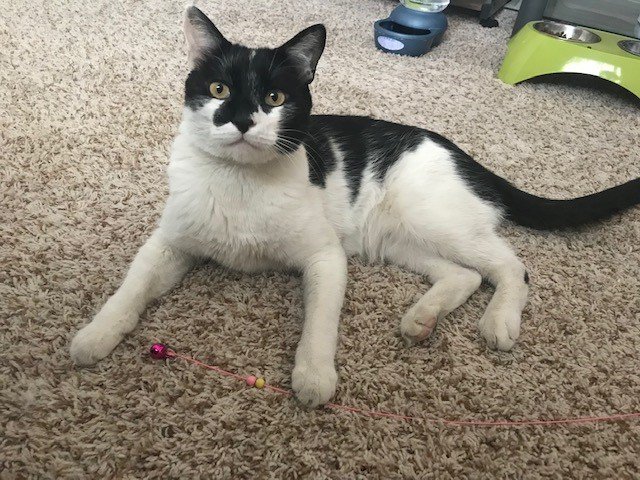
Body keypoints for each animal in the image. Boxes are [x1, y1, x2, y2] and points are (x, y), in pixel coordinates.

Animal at [67, 5, 636, 406]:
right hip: (396, 240)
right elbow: (132, 287)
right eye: (219, 88)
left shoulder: (325, 257)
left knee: (511, 266)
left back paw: (499, 322)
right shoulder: (170, 244)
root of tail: (458, 152)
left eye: (274, 98)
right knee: (464, 274)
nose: (243, 120)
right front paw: (95, 336)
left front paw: (314, 376)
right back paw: (422, 318)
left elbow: (320, 322)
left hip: (435, 220)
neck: (240, 182)